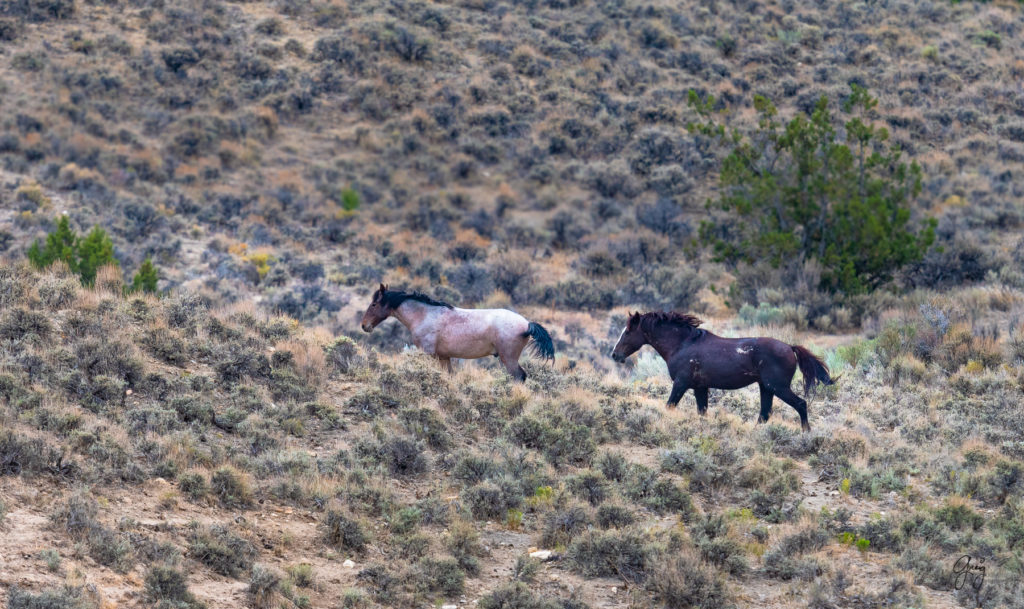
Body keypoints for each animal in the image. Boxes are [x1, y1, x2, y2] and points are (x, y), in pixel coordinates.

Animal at [360, 286, 552, 380]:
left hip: (509, 359)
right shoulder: (443, 357)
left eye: (374, 304)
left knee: (519, 377)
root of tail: (527, 324)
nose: (364, 325)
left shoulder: (427, 353)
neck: (424, 315)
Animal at [606, 311, 831, 431]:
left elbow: (669, 406)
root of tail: (790, 347)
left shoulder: (681, 384)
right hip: (766, 388)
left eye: (628, 332)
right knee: (764, 415)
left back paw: (806, 433)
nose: (615, 355)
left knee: (800, 404)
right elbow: (702, 412)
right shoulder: (700, 388)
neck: (682, 344)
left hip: (777, 387)